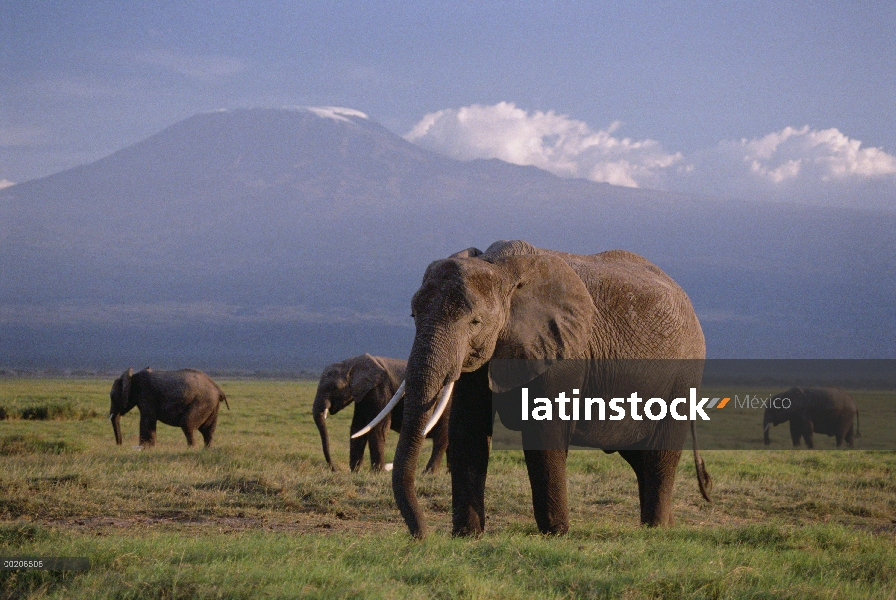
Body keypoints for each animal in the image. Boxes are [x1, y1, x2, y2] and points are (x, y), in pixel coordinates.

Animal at [312, 352, 448, 474]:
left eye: (333, 387)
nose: (334, 470)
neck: (352, 363)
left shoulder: (380, 389)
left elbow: (378, 427)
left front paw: (378, 472)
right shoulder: (363, 396)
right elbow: (358, 427)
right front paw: (355, 472)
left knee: (441, 439)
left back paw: (429, 473)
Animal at [356, 240, 712, 540]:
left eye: (475, 322)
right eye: (413, 314)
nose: (422, 537)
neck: (502, 270)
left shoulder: (563, 351)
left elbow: (544, 433)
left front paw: (556, 535)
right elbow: (469, 431)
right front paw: (467, 536)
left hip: (685, 372)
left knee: (659, 453)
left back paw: (656, 529)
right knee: (638, 454)